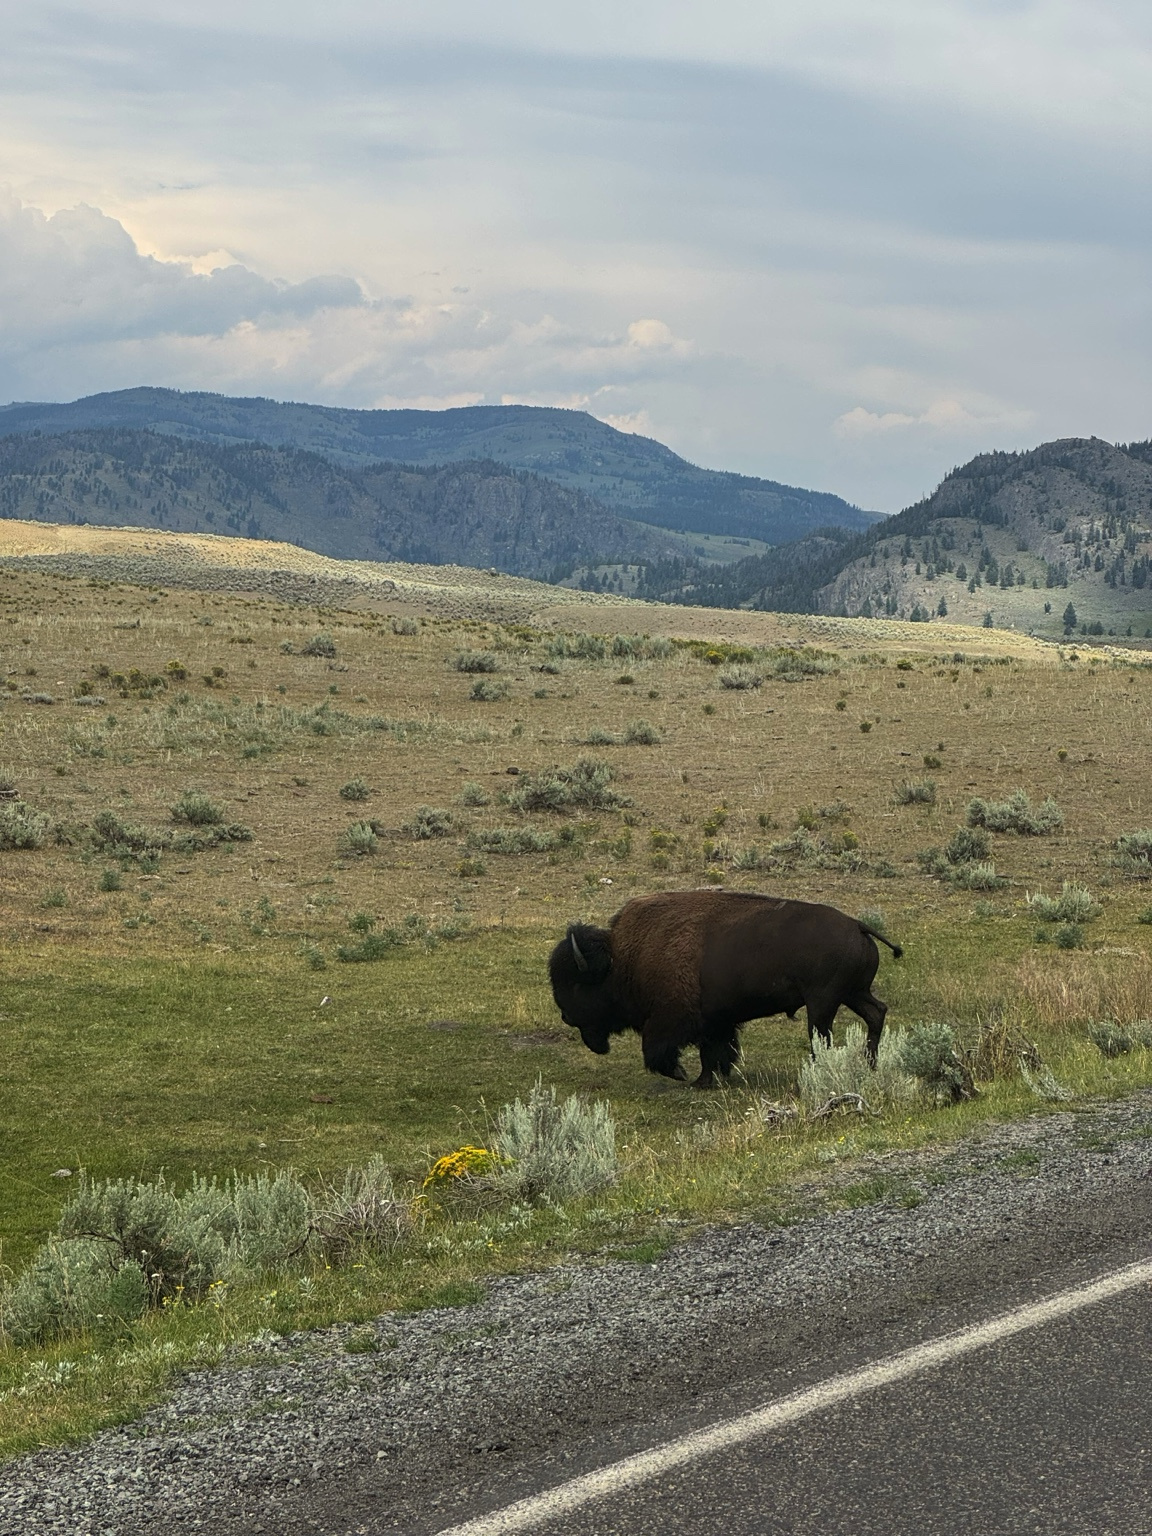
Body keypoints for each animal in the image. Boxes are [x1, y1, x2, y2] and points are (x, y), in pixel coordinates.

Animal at [549, 889, 902, 1088]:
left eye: (577, 985)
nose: (566, 1016)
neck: (623, 959)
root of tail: (858, 925)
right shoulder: (715, 1021)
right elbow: (714, 1052)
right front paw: (706, 1080)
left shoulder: (673, 1019)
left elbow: (659, 1050)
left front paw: (682, 1075)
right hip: (853, 994)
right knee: (876, 1013)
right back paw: (870, 1064)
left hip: (823, 1002)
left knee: (822, 1036)